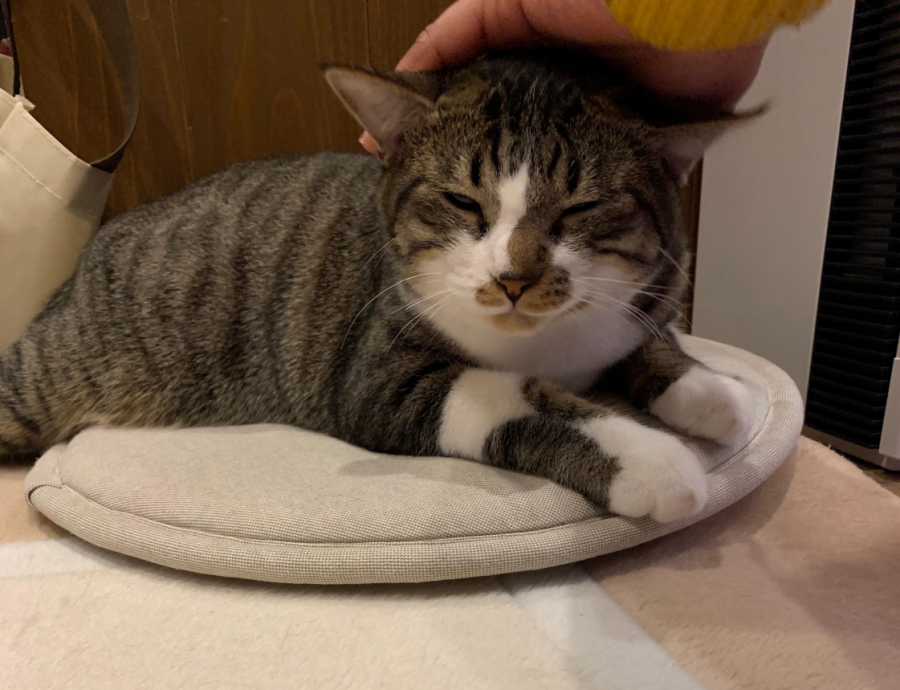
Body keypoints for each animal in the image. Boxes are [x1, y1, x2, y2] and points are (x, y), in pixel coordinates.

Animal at [0, 49, 760, 520]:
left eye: (580, 208)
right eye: (462, 202)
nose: (514, 278)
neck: (550, 343)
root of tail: (91, 252)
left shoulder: (636, 298)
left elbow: (646, 335)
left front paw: (707, 389)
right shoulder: (377, 376)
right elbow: (513, 397)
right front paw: (648, 457)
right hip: (54, 372)